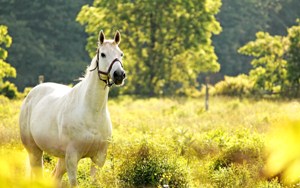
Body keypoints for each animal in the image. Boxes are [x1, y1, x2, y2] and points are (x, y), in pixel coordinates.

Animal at [19, 30, 125, 187]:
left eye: (121, 54)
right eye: (103, 54)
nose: (119, 75)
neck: (92, 112)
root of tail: (32, 93)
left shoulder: (99, 158)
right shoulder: (72, 157)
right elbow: (74, 183)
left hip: (61, 158)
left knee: (55, 177)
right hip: (35, 151)